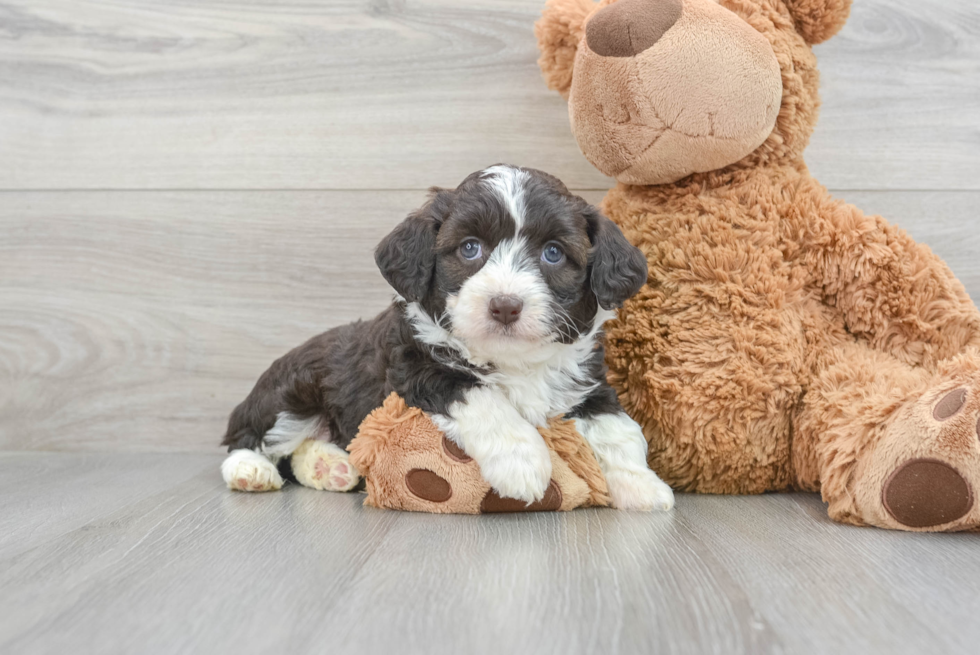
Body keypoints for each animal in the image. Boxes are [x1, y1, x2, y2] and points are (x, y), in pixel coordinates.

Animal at [220, 165, 672, 512]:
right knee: (251, 433)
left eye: (554, 253)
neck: (513, 360)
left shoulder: (587, 384)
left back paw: (332, 467)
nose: (505, 306)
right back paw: (250, 469)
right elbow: (483, 398)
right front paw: (523, 462)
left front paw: (642, 484)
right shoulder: (417, 368)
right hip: (291, 391)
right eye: (470, 248)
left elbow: (619, 429)